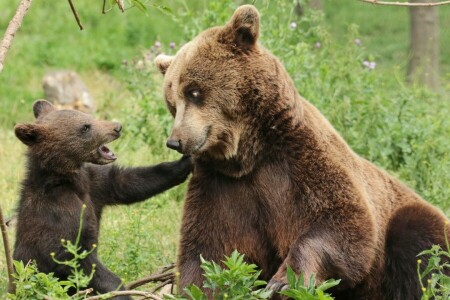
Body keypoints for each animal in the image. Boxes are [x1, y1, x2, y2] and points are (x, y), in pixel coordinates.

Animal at [156, 5, 450, 300]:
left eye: (194, 92)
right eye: (172, 103)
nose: (175, 141)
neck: (250, 154)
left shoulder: (302, 161)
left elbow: (343, 223)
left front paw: (285, 280)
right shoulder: (223, 187)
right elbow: (210, 250)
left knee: (421, 243)